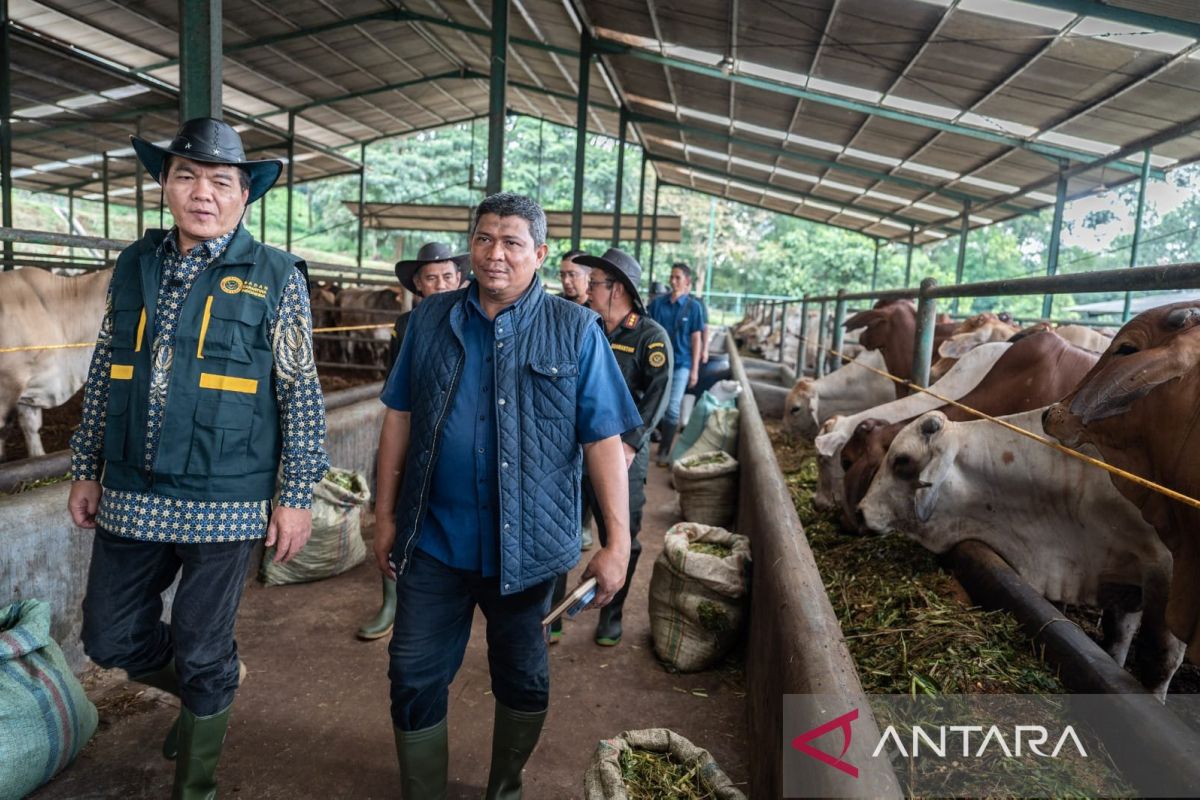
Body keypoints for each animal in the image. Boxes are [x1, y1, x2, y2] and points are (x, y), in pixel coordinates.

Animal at [864, 410, 1180, 695]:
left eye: (902, 460)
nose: (860, 511)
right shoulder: (1125, 579)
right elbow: (1116, 641)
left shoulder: (1164, 571)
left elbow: (1158, 661)